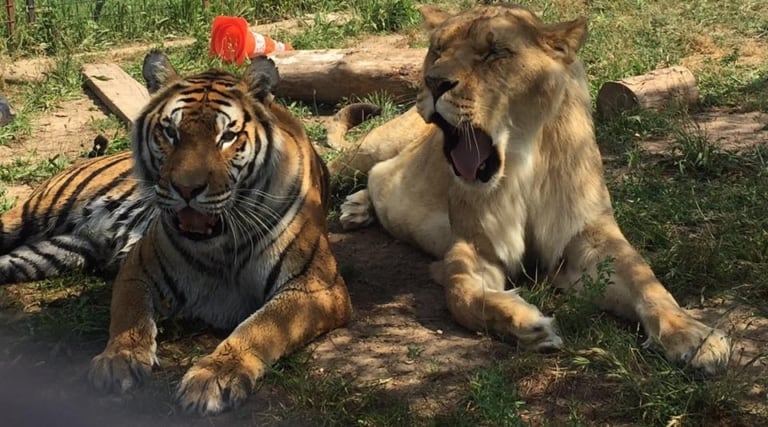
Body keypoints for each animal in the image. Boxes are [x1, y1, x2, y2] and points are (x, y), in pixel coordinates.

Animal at [0, 50, 352, 415]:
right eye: (170, 133)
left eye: (227, 137)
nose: (187, 189)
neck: (221, 245)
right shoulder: (138, 266)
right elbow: (129, 313)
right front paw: (119, 359)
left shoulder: (317, 286)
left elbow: (261, 327)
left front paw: (214, 377)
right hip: (32, 214)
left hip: (52, 253)